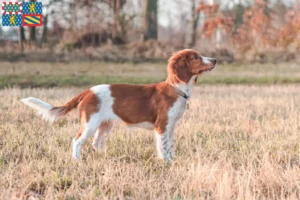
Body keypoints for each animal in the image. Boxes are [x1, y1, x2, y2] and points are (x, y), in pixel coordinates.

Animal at [21, 49, 217, 162]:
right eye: (196, 57)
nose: (215, 59)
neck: (176, 89)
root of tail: (87, 91)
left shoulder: (171, 127)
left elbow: (171, 146)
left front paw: (173, 161)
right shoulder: (162, 126)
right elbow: (163, 147)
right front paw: (166, 163)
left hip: (105, 125)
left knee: (97, 143)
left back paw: (105, 158)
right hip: (90, 123)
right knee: (77, 141)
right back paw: (76, 161)